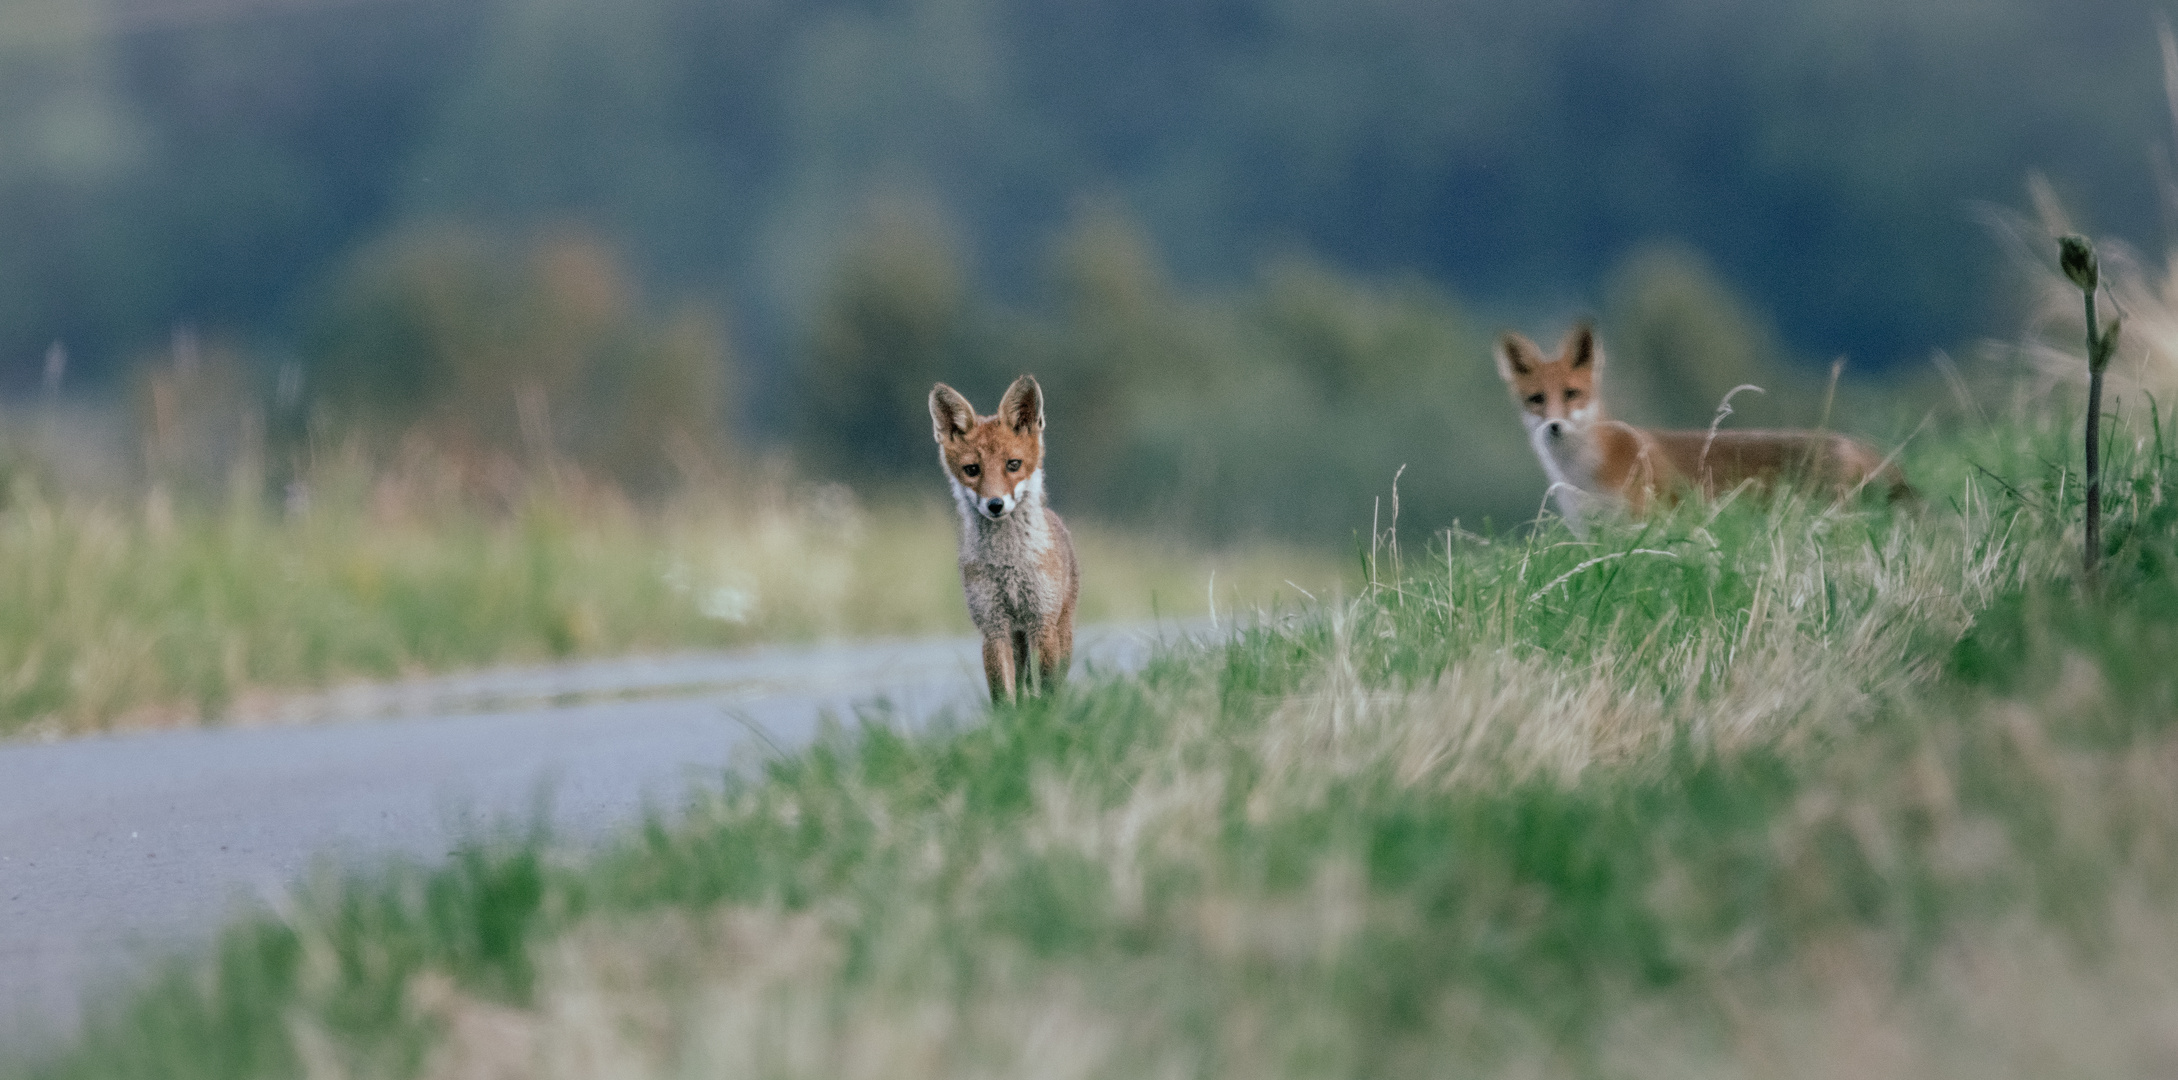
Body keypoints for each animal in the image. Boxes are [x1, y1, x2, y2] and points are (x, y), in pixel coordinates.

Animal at [927, 374, 1080, 705]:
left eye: (1013, 464)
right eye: (972, 470)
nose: (995, 504)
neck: (1009, 563)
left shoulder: (1041, 622)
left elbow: (1047, 689)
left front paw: (1047, 716)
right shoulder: (994, 627)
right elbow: (1003, 697)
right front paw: (1012, 718)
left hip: (1060, 630)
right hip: (1016, 635)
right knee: (1022, 685)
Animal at [1489, 322, 1916, 537]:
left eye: (1572, 394)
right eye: (1536, 399)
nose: (1554, 426)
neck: (1584, 474)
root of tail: (1858, 445)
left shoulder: (1643, 524)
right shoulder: (1592, 537)